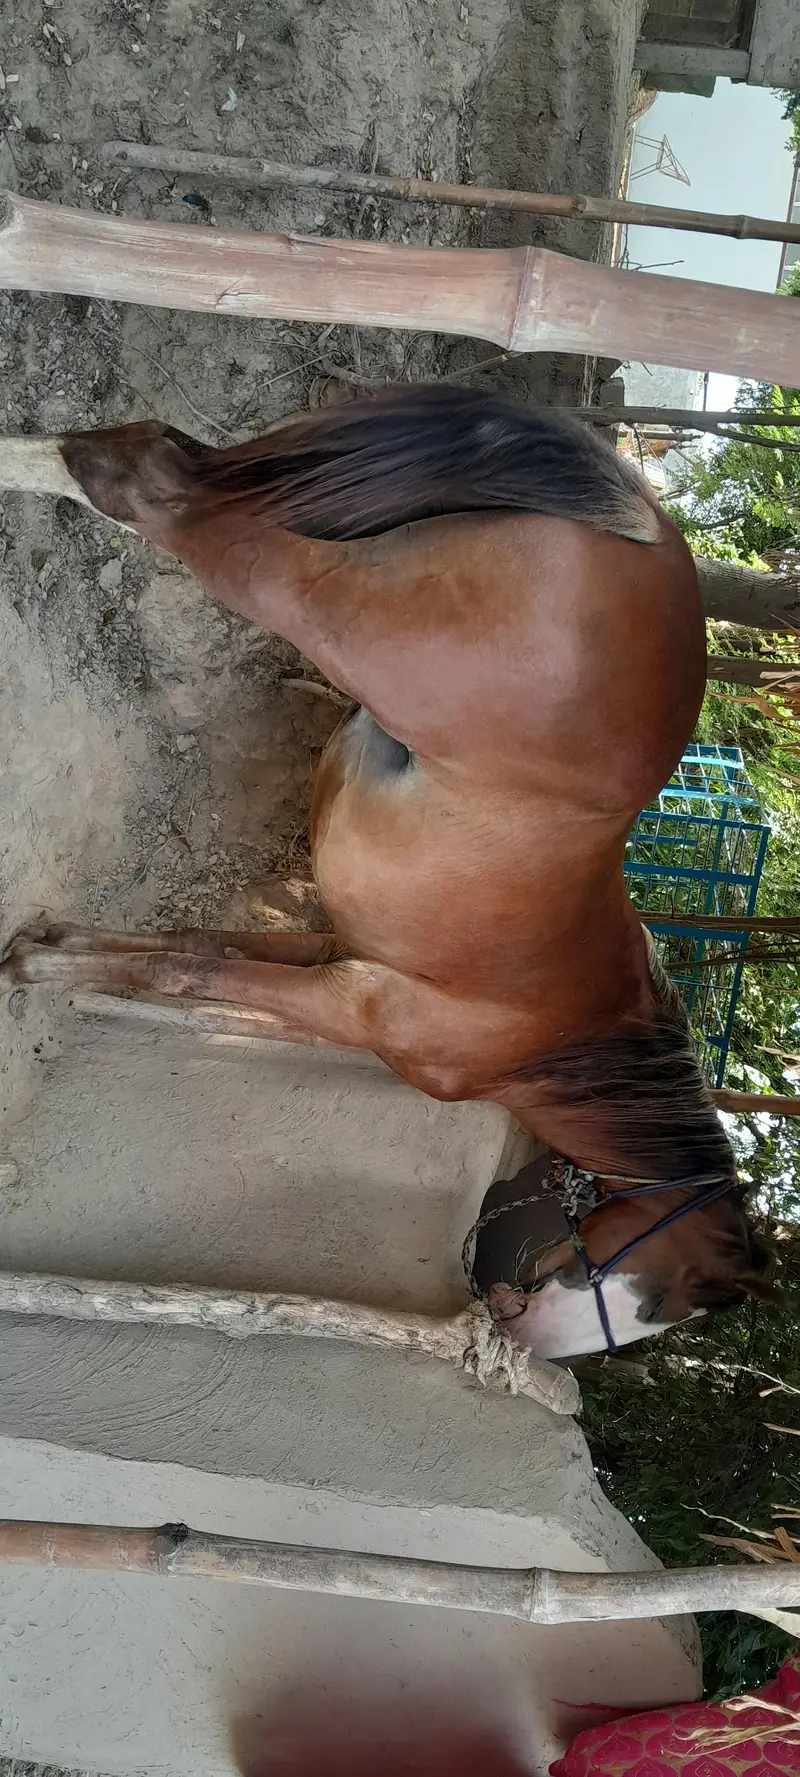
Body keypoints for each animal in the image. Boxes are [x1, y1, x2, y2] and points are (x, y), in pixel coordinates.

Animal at [0, 387, 772, 1358]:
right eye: (675, 1295)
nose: (523, 1339)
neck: (559, 1040)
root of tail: (651, 526)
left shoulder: (330, 949)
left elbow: (185, 943)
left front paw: (49, 946)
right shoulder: (354, 1004)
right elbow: (193, 971)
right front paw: (35, 968)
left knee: (153, 455)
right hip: (312, 599)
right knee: (157, 488)